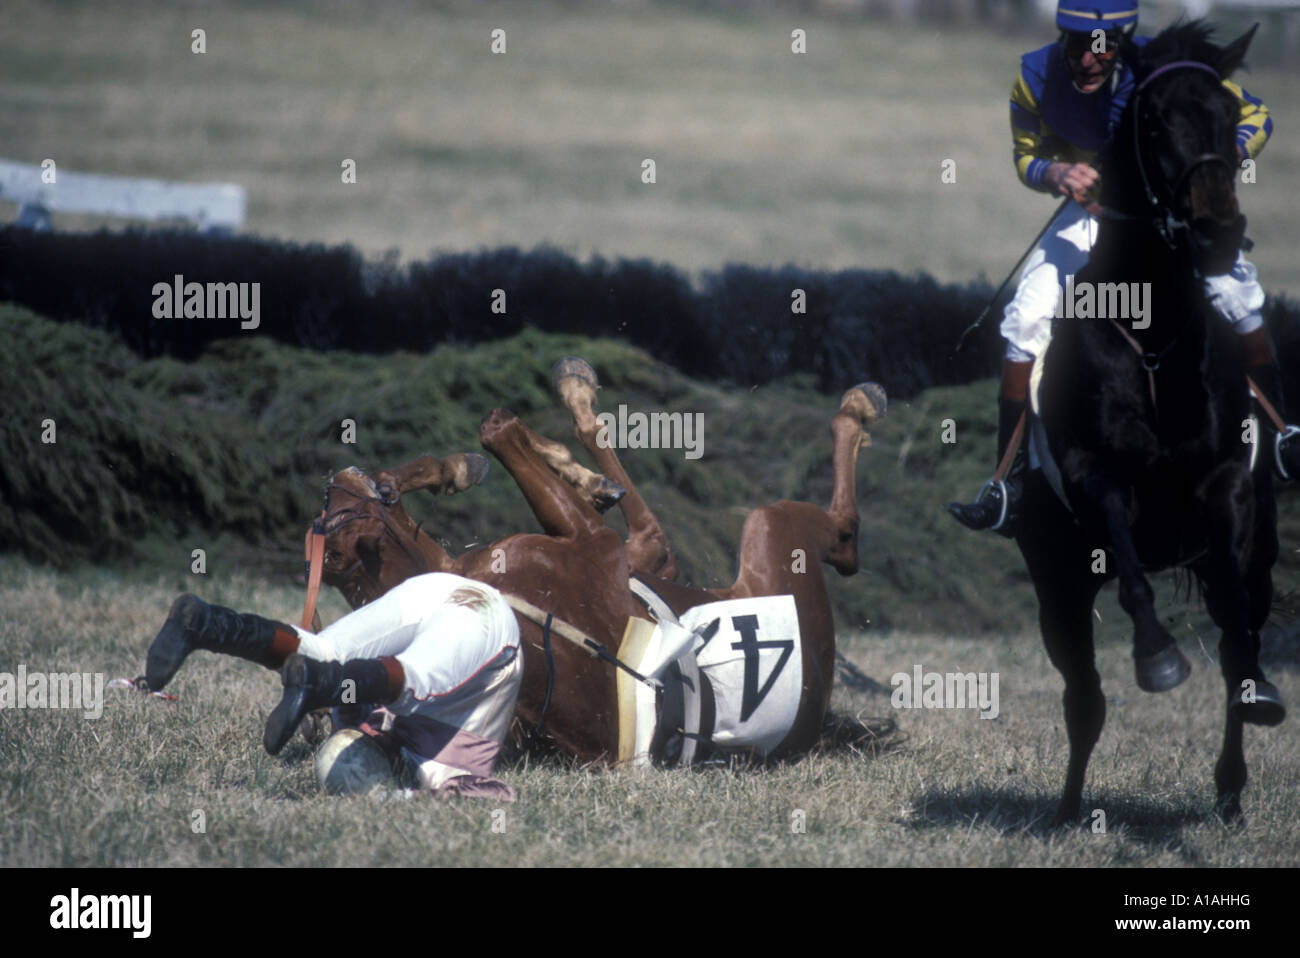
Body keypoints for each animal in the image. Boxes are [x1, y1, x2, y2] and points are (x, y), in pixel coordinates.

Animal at [309, 358, 889, 764]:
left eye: (333, 512)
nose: (336, 480)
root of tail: (813, 720)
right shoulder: (599, 545)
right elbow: (498, 427)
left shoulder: (616, 552)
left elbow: (480, 442)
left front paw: (449, 470)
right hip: (774, 534)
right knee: (845, 537)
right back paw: (857, 408)